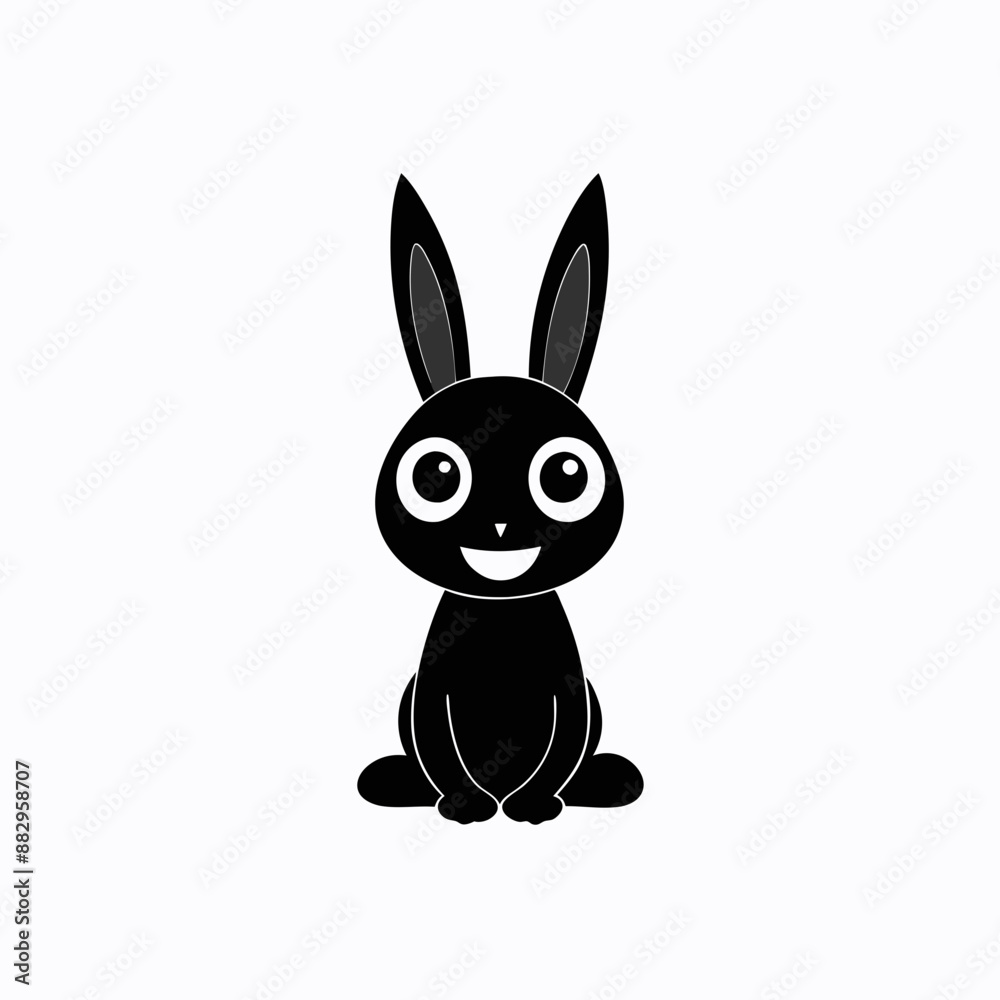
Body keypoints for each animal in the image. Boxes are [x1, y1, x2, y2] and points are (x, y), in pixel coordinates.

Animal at [357, 173, 643, 824]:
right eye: (435, 472)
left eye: (565, 473)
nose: (500, 526)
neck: (500, 612)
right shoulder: (431, 682)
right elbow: (437, 741)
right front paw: (465, 803)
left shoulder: (568, 680)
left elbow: (565, 741)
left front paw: (534, 802)